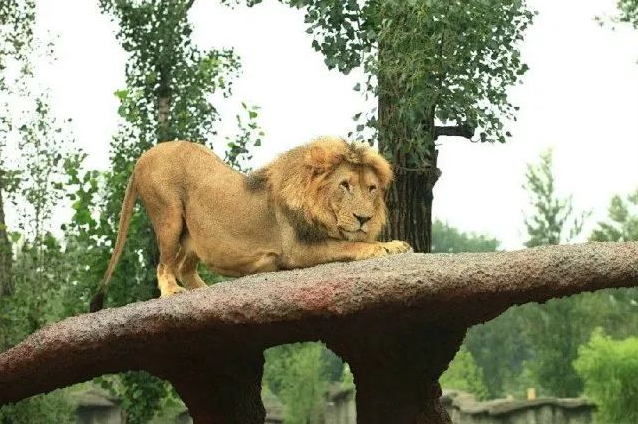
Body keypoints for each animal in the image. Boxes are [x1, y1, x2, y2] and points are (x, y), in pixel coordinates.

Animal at [90, 136, 416, 312]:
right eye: (344, 185)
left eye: (371, 189)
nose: (364, 218)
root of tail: (143, 157)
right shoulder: (297, 250)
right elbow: (350, 246)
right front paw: (381, 248)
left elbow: (354, 240)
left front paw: (395, 244)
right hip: (168, 216)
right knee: (164, 265)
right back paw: (172, 292)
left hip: (195, 235)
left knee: (183, 266)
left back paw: (204, 291)